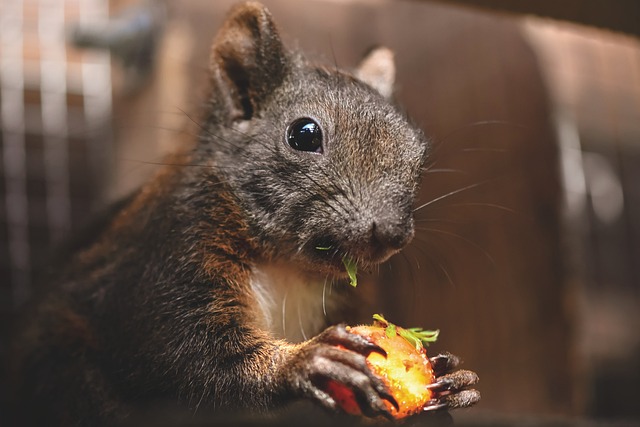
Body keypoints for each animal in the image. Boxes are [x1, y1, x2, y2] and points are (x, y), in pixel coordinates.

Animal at [10, 2, 480, 424]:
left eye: (419, 152)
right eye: (303, 134)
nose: (393, 233)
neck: (286, 266)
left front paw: (455, 380)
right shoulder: (169, 262)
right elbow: (195, 357)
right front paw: (303, 363)